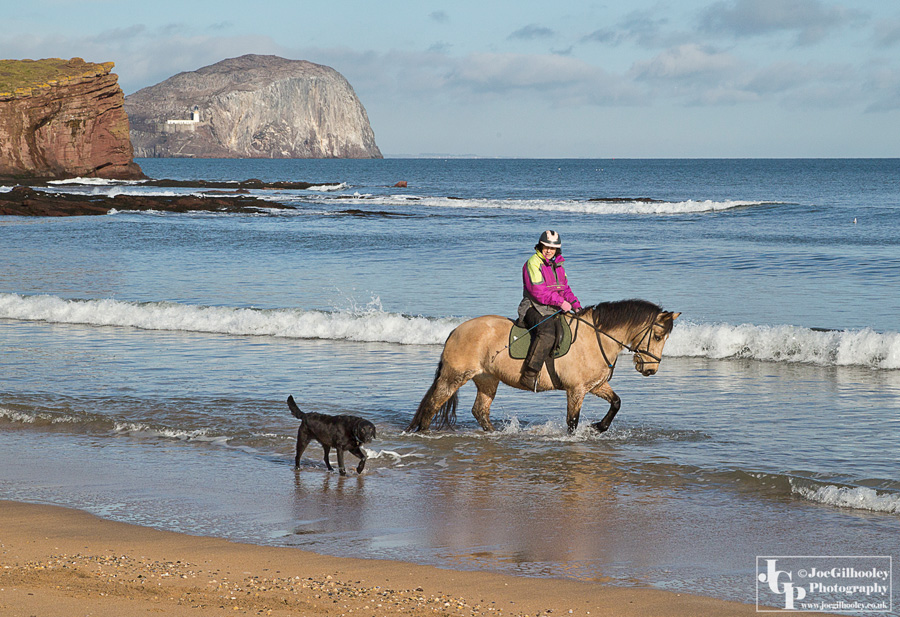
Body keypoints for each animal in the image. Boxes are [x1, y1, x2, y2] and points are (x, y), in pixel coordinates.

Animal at [406, 299, 680, 434]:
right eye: (658, 336)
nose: (650, 369)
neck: (596, 338)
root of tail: (455, 330)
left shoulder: (596, 385)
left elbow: (617, 402)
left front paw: (599, 427)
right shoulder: (576, 390)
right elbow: (572, 421)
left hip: (487, 379)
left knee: (479, 411)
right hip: (454, 377)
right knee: (432, 405)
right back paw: (426, 435)